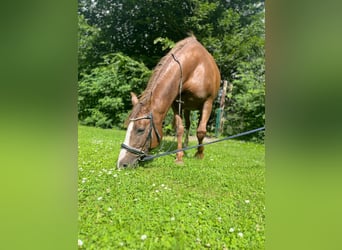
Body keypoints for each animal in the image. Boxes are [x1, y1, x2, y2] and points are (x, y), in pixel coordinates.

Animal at [116, 35, 220, 168]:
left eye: (140, 130)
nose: (121, 164)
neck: (194, 68)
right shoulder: (176, 104)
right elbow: (179, 129)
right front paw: (179, 157)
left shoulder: (208, 102)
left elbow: (201, 131)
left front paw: (199, 154)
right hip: (187, 108)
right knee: (188, 125)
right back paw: (185, 146)